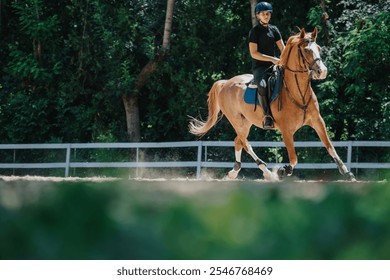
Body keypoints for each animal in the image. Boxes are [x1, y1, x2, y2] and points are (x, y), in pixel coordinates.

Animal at [189, 27, 356, 182]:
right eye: (306, 50)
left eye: (319, 48)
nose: (322, 71)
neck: (298, 94)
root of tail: (225, 83)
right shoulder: (286, 130)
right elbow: (294, 158)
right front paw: (283, 170)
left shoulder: (318, 121)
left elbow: (330, 147)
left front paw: (347, 172)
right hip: (236, 120)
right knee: (245, 143)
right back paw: (267, 172)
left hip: (246, 122)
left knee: (238, 141)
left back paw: (235, 171)